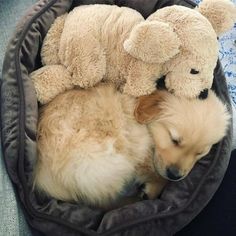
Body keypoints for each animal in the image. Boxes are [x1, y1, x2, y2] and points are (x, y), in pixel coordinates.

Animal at [34, 84, 230, 208]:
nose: (175, 175)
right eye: (174, 139)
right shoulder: (141, 149)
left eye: (200, 153)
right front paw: (153, 188)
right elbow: (155, 173)